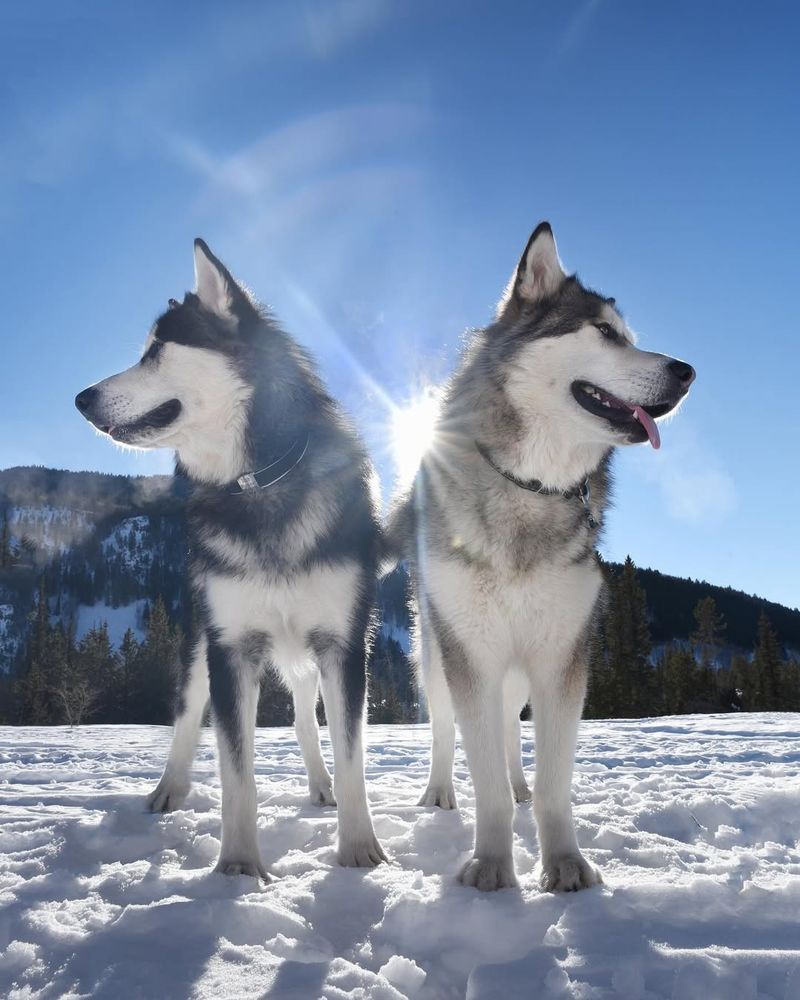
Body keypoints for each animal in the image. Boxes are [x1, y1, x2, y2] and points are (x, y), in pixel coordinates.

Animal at [75, 238, 388, 880]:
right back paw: (169, 789)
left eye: (156, 350)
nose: (80, 399)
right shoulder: (230, 649)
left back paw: (321, 787)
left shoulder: (344, 644)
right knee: (186, 717)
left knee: (303, 719)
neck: (259, 481)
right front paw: (239, 868)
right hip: (199, 639)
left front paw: (358, 851)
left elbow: (351, 754)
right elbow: (234, 767)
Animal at [388, 225, 692, 892]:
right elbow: (484, 784)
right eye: (603, 331)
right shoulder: (472, 655)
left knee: (509, 732)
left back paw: (518, 784)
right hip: (439, 656)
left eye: (629, 334)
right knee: (446, 732)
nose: (687, 371)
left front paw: (565, 863)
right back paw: (439, 792)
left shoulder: (561, 659)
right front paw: (491, 865)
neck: (528, 488)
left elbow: (555, 782)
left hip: (519, 670)